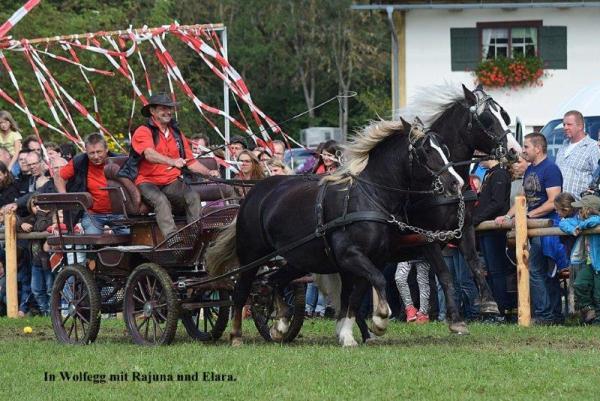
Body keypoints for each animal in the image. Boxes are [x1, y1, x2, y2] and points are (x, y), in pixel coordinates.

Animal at [206, 118, 464, 346]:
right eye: (426, 151)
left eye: (445, 149)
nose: (456, 183)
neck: (369, 197)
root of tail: (254, 191)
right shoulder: (350, 255)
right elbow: (375, 283)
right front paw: (380, 321)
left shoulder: (372, 259)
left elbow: (354, 298)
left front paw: (347, 335)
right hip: (252, 254)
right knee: (241, 291)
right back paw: (236, 336)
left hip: (300, 258)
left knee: (273, 281)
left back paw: (280, 325)